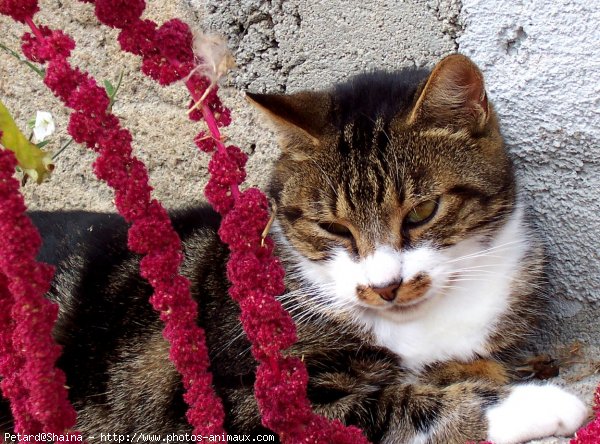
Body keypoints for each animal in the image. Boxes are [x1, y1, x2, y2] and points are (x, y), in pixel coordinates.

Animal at [0, 55, 592, 444]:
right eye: (334, 229)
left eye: (422, 213)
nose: (386, 287)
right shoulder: (239, 402)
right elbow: (387, 406)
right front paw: (536, 403)